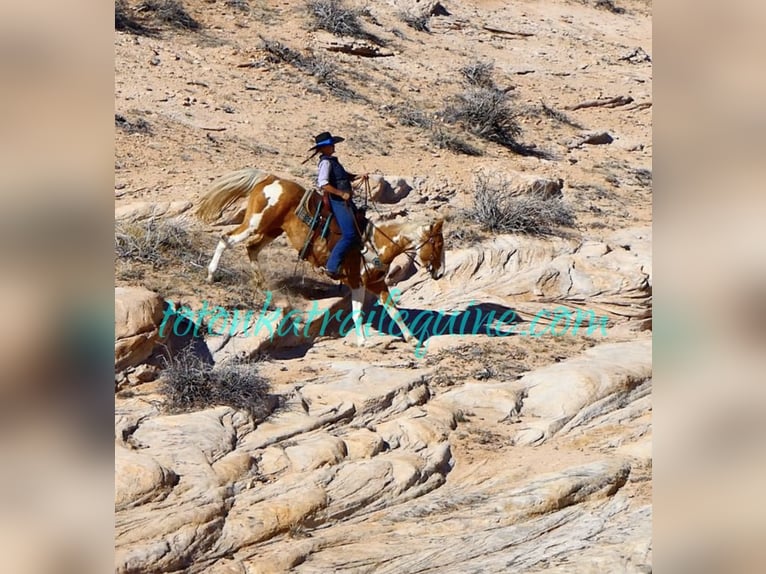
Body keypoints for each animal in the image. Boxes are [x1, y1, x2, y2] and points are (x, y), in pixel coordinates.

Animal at [192, 166, 448, 346]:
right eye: (437, 243)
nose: (440, 272)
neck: (375, 243)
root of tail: (270, 178)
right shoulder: (356, 280)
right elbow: (357, 312)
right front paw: (363, 341)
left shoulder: (376, 283)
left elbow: (394, 311)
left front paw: (411, 339)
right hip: (256, 223)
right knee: (226, 239)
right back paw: (211, 275)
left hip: (271, 230)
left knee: (251, 249)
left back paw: (265, 287)